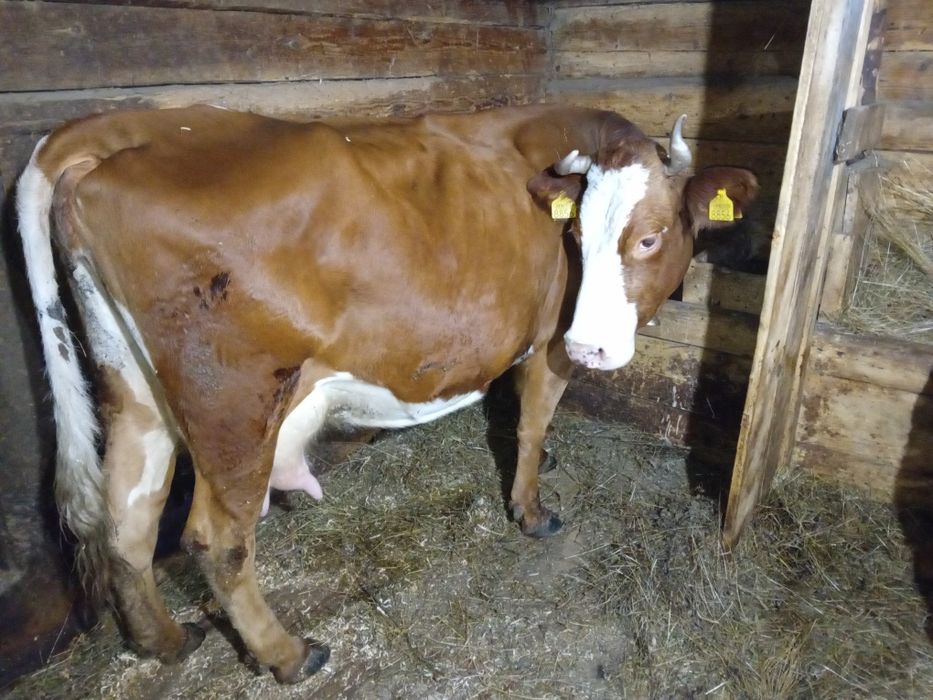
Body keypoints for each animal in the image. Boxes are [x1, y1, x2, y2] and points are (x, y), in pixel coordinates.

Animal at [16, 104, 757, 682]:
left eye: (649, 237)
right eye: (575, 235)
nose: (590, 348)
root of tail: (136, 126)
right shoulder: (549, 337)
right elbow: (532, 422)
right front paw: (530, 509)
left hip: (131, 386)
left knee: (128, 517)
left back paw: (164, 641)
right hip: (232, 400)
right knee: (214, 539)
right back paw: (288, 655)